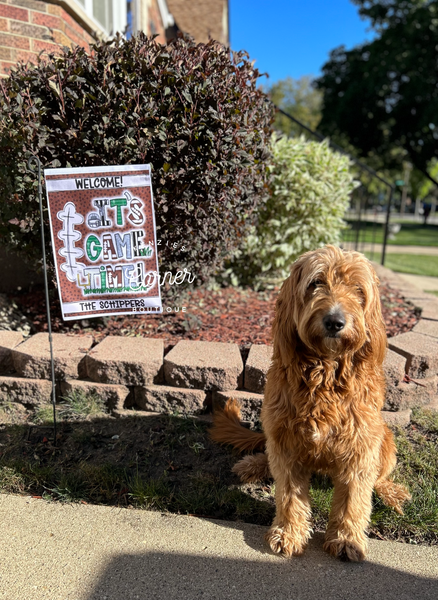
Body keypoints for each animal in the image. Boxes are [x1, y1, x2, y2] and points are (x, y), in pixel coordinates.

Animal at [212, 244, 410, 564]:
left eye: (358, 289)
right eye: (316, 283)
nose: (334, 322)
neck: (325, 375)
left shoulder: (360, 446)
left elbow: (354, 496)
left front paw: (347, 539)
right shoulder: (286, 441)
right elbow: (288, 494)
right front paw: (288, 533)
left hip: (385, 440)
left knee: (378, 477)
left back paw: (390, 491)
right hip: (273, 429)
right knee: (269, 455)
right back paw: (255, 464)